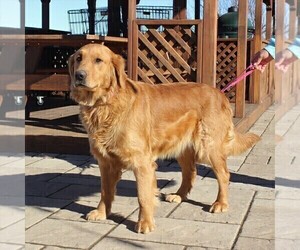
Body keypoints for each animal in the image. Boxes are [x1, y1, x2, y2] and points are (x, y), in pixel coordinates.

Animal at [68, 43, 260, 234]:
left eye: (98, 60)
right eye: (78, 58)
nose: (79, 75)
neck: (104, 104)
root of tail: (220, 93)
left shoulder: (142, 163)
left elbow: (143, 196)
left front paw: (145, 222)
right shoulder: (106, 162)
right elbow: (105, 191)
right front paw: (102, 212)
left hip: (209, 148)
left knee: (224, 175)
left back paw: (221, 203)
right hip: (184, 148)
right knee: (190, 172)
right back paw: (179, 195)